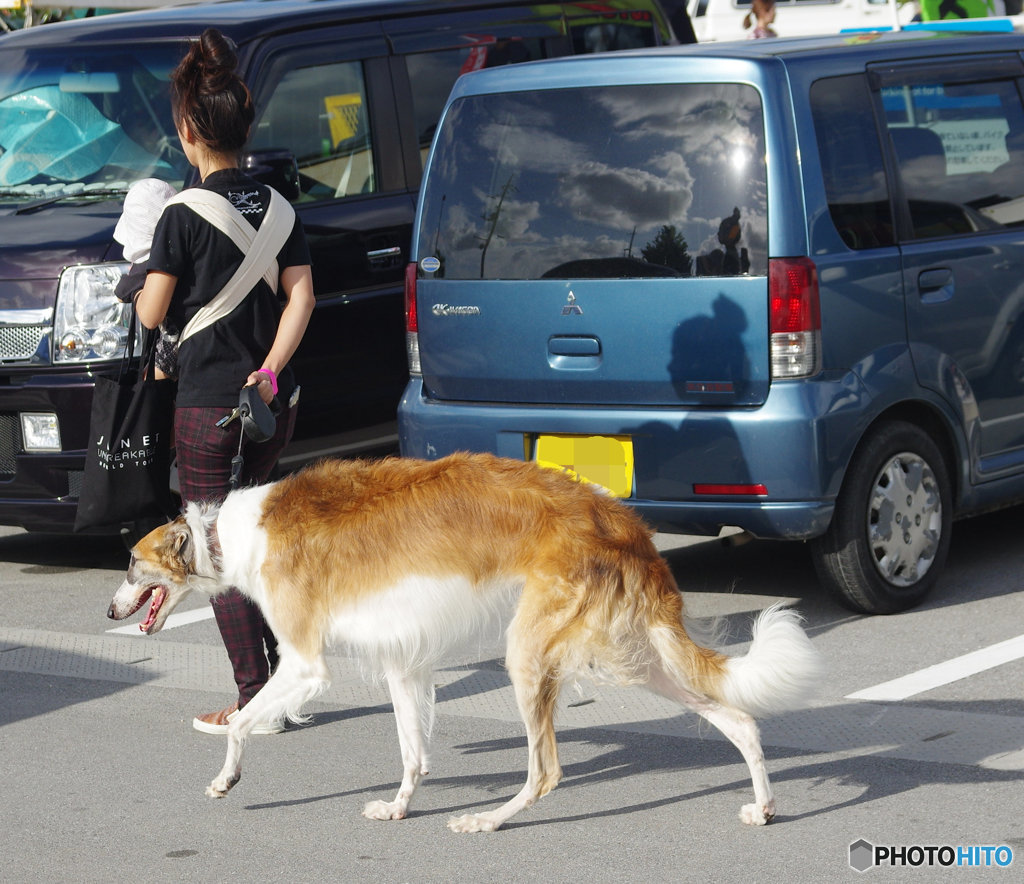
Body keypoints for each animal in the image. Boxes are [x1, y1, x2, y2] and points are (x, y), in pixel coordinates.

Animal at [105, 452, 823, 831]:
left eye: (133, 564)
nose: (108, 608)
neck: (232, 534)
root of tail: (628, 524)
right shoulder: (401, 662)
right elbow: (413, 756)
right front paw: (398, 808)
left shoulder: (306, 664)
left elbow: (240, 724)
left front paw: (226, 781)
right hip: (631, 654)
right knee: (739, 719)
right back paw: (764, 805)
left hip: (530, 655)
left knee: (546, 771)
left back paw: (490, 821)